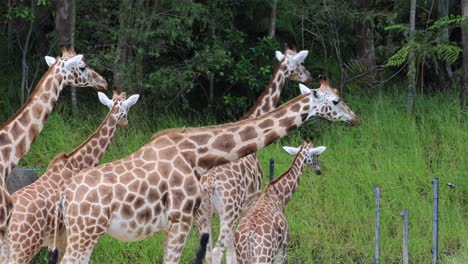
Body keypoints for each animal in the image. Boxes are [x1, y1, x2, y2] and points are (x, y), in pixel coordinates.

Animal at [0, 89, 139, 264]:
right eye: (127, 109)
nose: (126, 123)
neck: (77, 163)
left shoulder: (57, 238)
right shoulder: (66, 234)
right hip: (23, 249)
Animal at [50, 83, 358, 264]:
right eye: (337, 101)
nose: (356, 118)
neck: (197, 154)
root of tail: (64, 196)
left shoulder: (176, 223)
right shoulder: (182, 220)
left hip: (82, 234)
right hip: (84, 233)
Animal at [192, 48, 312, 264]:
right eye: (300, 63)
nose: (308, 76)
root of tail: (210, 183)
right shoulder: (250, 200)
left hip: (202, 214)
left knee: (207, 252)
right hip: (227, 211)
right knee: (217, 251)